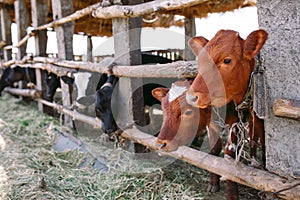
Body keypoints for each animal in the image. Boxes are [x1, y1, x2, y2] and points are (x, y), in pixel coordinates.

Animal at [185, 28, 268, 199]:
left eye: (227, 60)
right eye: (200, 61)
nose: (192, 97)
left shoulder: (238, 122)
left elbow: (230, 153)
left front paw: (231, 193)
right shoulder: (212, 121)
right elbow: (214, 149)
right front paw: (213, 183)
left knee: (257, 139)